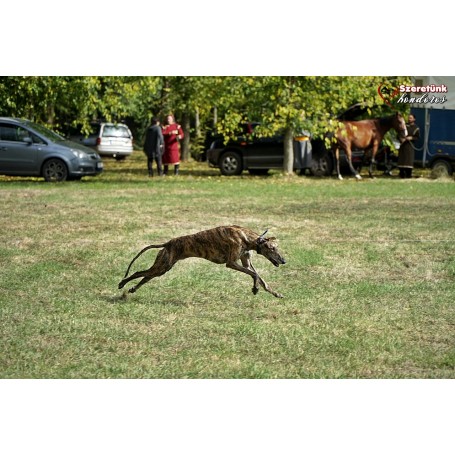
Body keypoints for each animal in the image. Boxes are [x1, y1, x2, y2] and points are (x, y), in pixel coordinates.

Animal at [119, 225, 286, 298]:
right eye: (272, 248)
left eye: (277, 247)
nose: (283, 260)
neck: (247, 237)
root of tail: (168, 243)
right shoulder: (231, 263)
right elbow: (255, 275)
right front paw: (255, 288)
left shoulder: (245, 262)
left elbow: (260, 278)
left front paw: (274, 292)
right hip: (162, 267)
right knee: (138, 272)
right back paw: (122, 283)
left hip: (163, 267)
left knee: (145, 276)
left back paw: (132, 289)